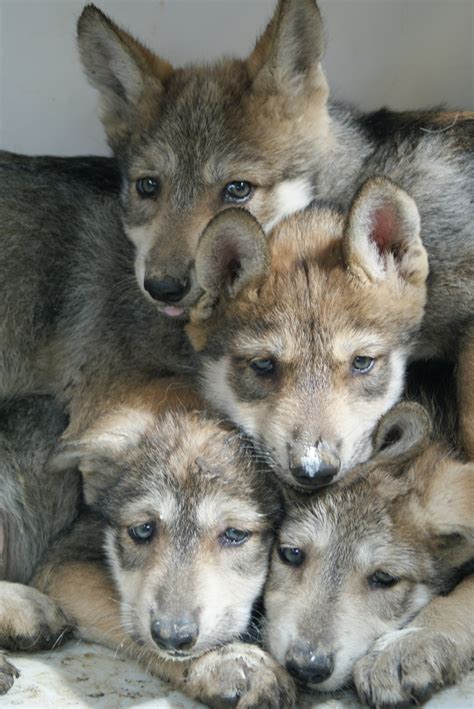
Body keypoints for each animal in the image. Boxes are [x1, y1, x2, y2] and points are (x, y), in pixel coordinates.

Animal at [0, 378, 296, 704]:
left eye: (235, 535)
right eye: (142, 530)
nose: (172, 637)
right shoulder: (62, 565)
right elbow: (131, 618)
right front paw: (226, 660)